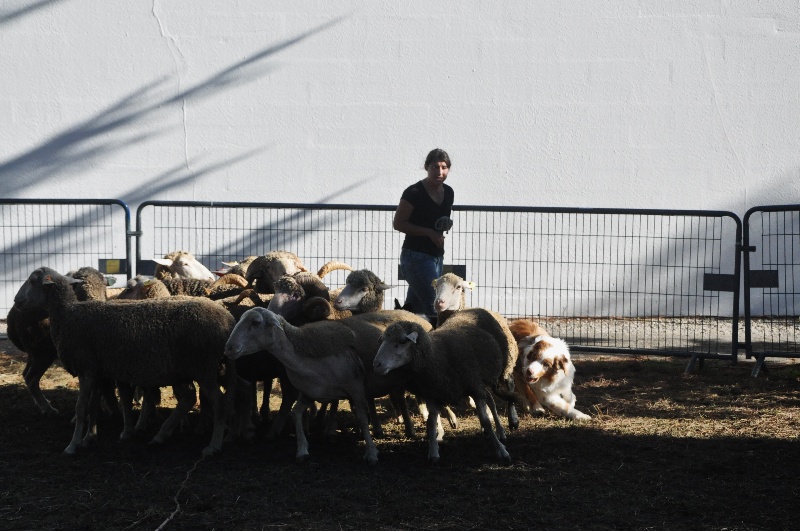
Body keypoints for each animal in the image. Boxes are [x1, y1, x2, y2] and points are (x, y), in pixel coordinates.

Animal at [13, 268, 234, 456]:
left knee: (219, 403)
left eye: (32, 281)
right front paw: (88, 438)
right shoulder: (98, 372)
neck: (67, 314)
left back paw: (213, 445)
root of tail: (228, 320)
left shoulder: (86, 369)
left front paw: (72, 445)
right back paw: (161, 435)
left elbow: (81, 408)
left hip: (203, 368)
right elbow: (93, 406)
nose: (16, 300)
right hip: (185, 369)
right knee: (189, 398)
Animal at [222, 308, 378, 466]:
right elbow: (296, 413)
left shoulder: (356, 389)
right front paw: (302, 449)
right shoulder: (308, 392)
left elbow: (362, 418)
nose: (228, 348)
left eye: (256, 322)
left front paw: (371, 452)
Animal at [374, 308, 520, 466]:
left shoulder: (474, 387)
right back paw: (498, 430)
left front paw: (502, 451)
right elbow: (431, 423)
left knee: (506, 392)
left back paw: (506, 427)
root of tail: (477, 309)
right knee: (491, 401)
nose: (376, 365)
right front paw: (433, 452)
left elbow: (486, 422)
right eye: (383, 340)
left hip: (503, 369)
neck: (436, 354)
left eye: (402, 341)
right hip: (481, 381)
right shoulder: (433, 393)